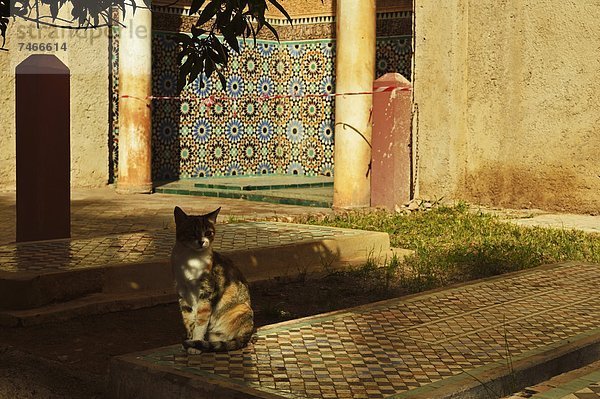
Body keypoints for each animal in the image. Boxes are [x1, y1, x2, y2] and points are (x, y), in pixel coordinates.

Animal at [171, 206, 253, 354]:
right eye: (192, 232)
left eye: (208, 232)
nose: (201, 241)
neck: (191, 259)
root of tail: (246, 336)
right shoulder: (183, 295)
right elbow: (188, 321)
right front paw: (190, 341)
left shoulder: (206, 294)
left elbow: (200, 322)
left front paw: (194, 345)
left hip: (241, 309)